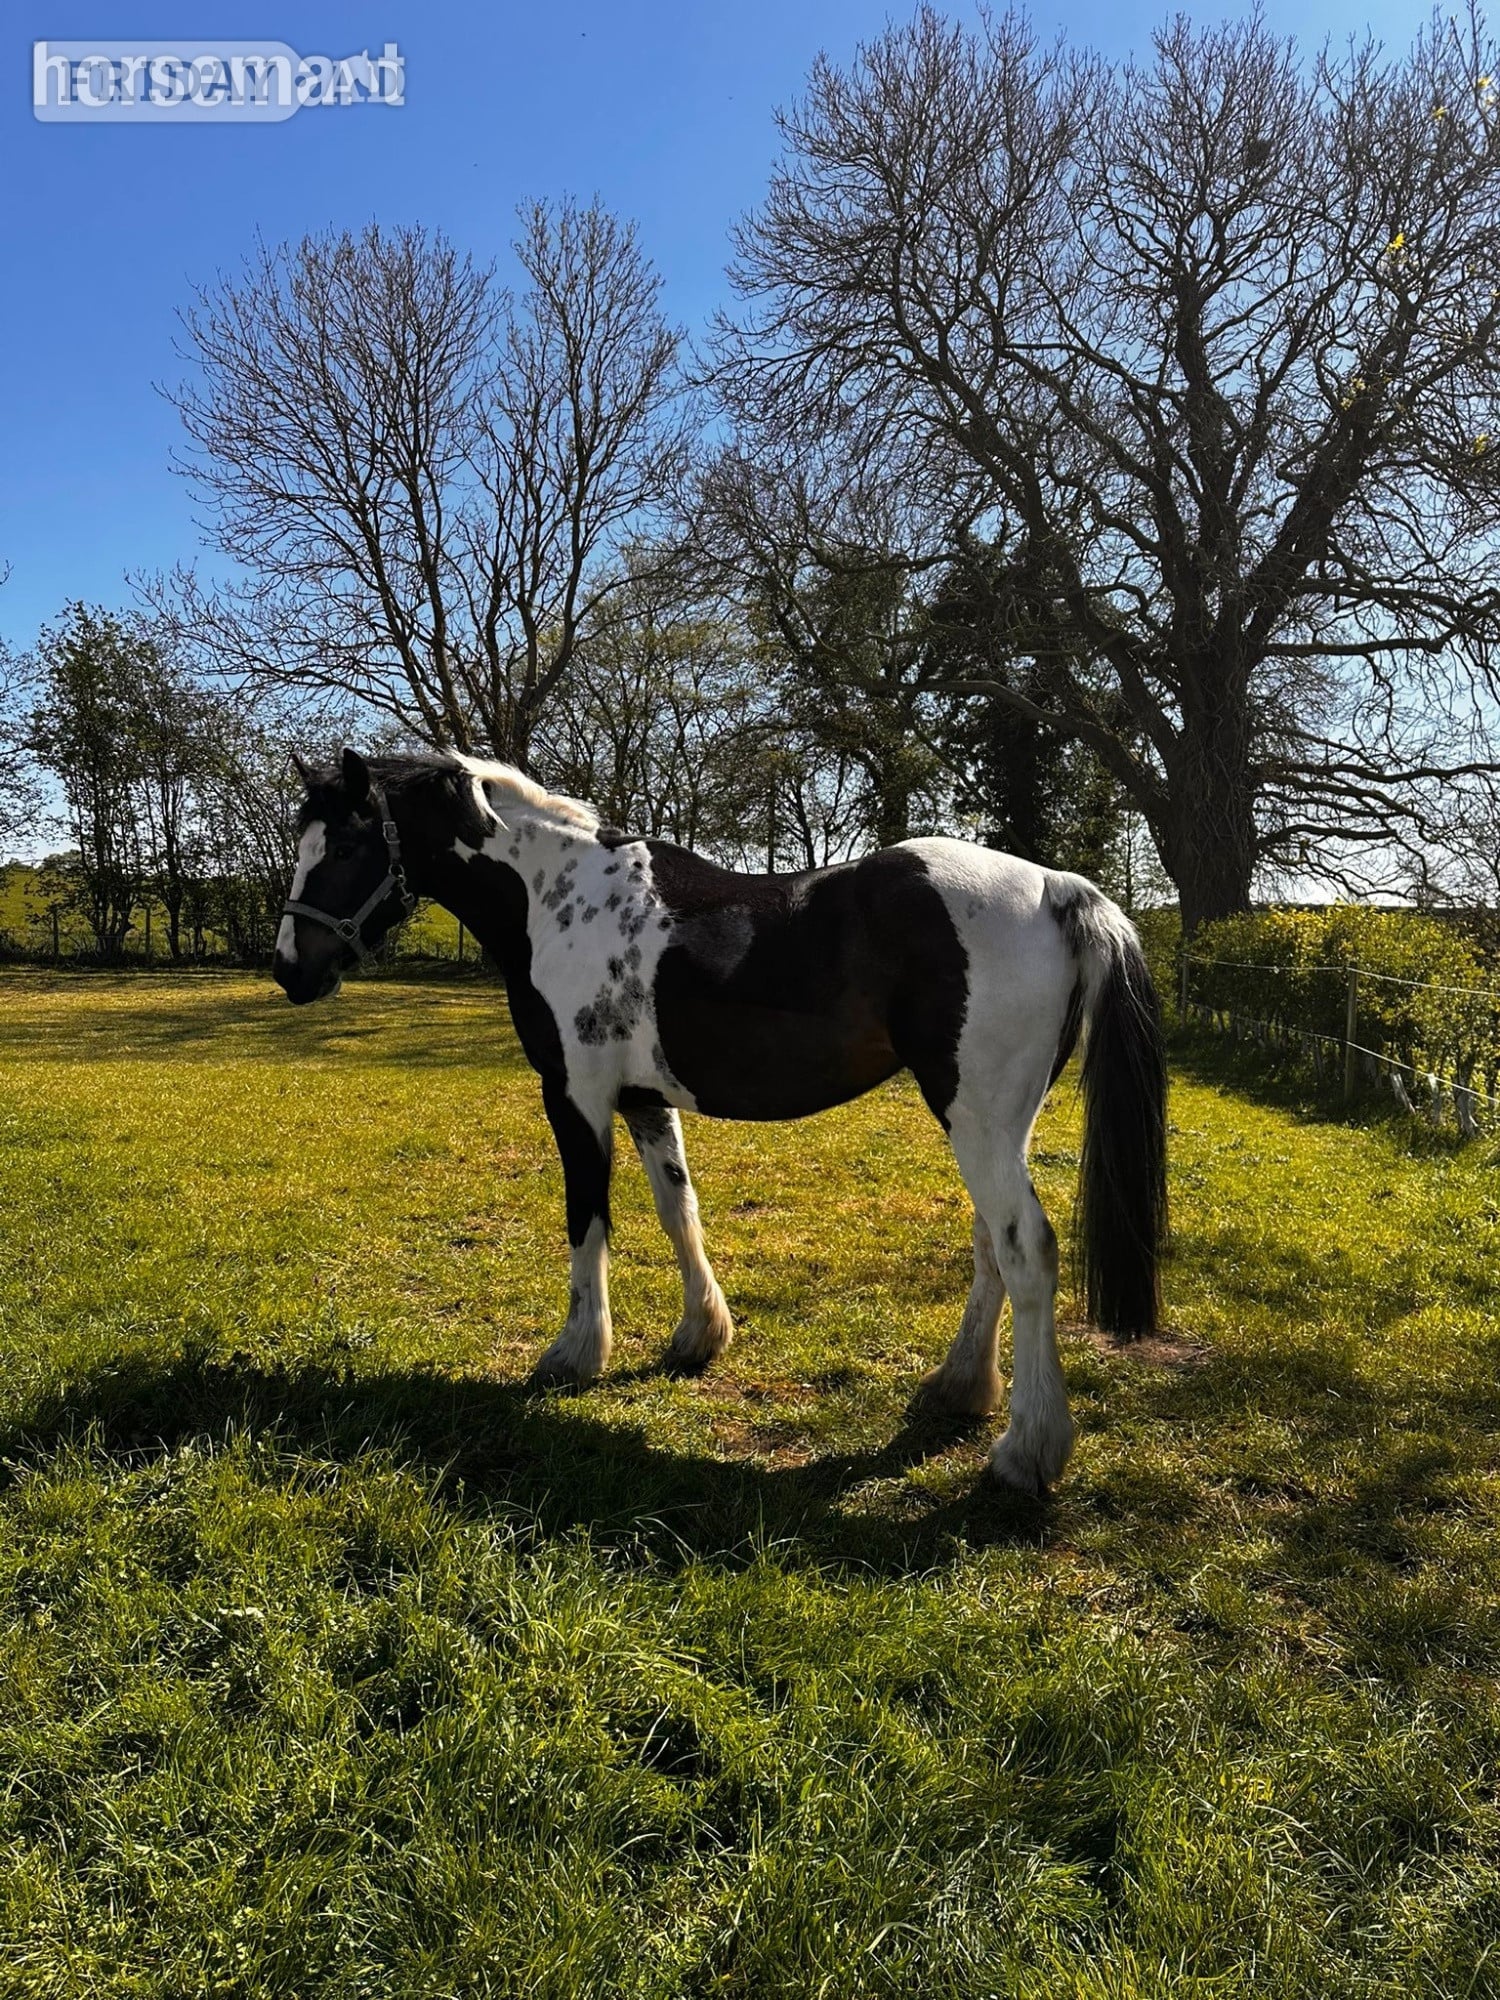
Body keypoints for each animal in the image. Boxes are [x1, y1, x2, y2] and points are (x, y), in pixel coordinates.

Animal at [273, 748, 1168, 1493]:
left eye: (345, 848)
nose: (289, 970)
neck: (557, 900)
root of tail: (1056, 887)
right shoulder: (644, 1100)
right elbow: (679, 1212)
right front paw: (700, 1335)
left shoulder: (575, 1096)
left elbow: (586, 1222)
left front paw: (575, 1354)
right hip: (990, 1123)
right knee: (992, 1246)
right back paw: (960, 1389)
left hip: (977, 1119)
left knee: (1027, 1251)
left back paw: (1027, 1452)